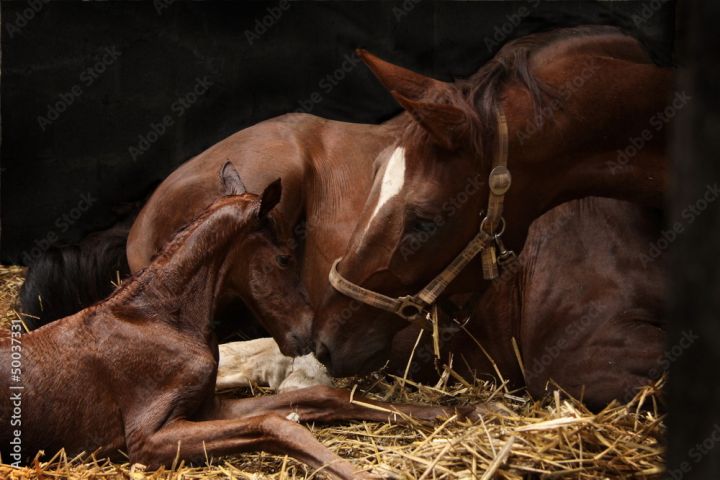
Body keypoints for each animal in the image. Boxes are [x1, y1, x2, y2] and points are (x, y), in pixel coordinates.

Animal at [1, 163, 462, 478]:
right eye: (284, 257)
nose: (308, 334)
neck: (158, 317)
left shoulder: (207, 407)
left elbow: (322, 398)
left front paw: (457, 410)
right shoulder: (147, 439)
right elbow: (278, 424)